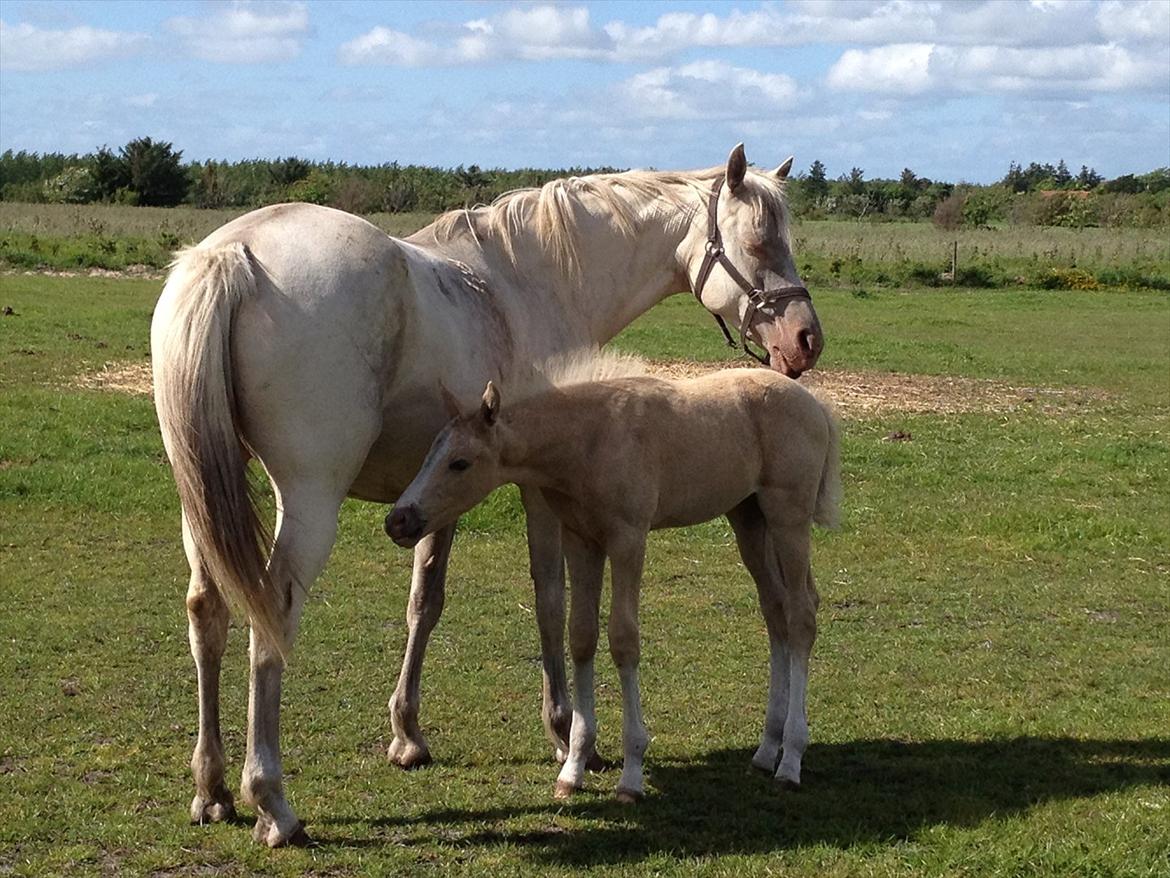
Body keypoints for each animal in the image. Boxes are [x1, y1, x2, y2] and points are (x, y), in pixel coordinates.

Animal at [390, 360, 842, 800]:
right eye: (428, 454)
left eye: (460, 463)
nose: (398, 520)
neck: (588, 440)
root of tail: (815, 404)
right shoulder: (581, 540)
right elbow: (581, 636)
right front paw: (573, 768)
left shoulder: (628, 539)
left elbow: (623, 640)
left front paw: (631, 774)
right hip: (748, 518)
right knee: (776, 611)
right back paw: (767, 750)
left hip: (788, 518)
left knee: (801, 616)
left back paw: (790, 761)